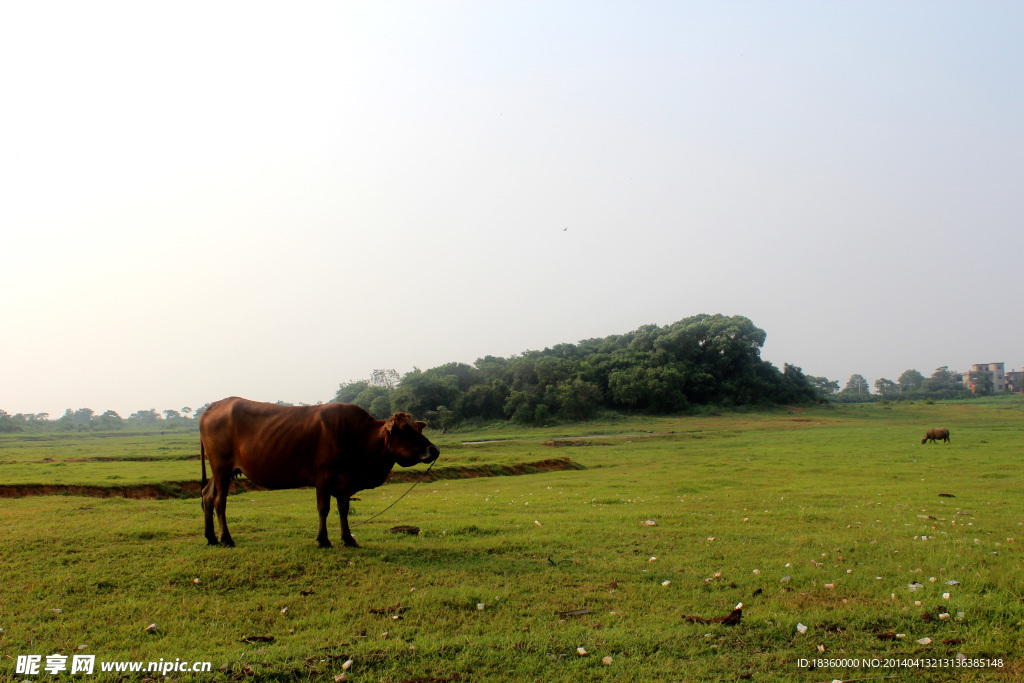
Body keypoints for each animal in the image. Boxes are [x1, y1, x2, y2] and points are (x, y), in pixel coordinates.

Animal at [200, 395, 440, 548]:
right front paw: (323, 540)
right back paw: (226, 539)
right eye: (405, 430)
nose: (434, 449)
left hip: (221, 470)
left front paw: (348, 538)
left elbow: (343, 509)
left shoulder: (345, 481)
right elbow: (323, 509)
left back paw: (211, 538)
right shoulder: (323, 476)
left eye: (417, 428)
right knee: (220, 501)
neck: (358, 438)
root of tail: (215, 405)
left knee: (207, 496)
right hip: (222, 467)